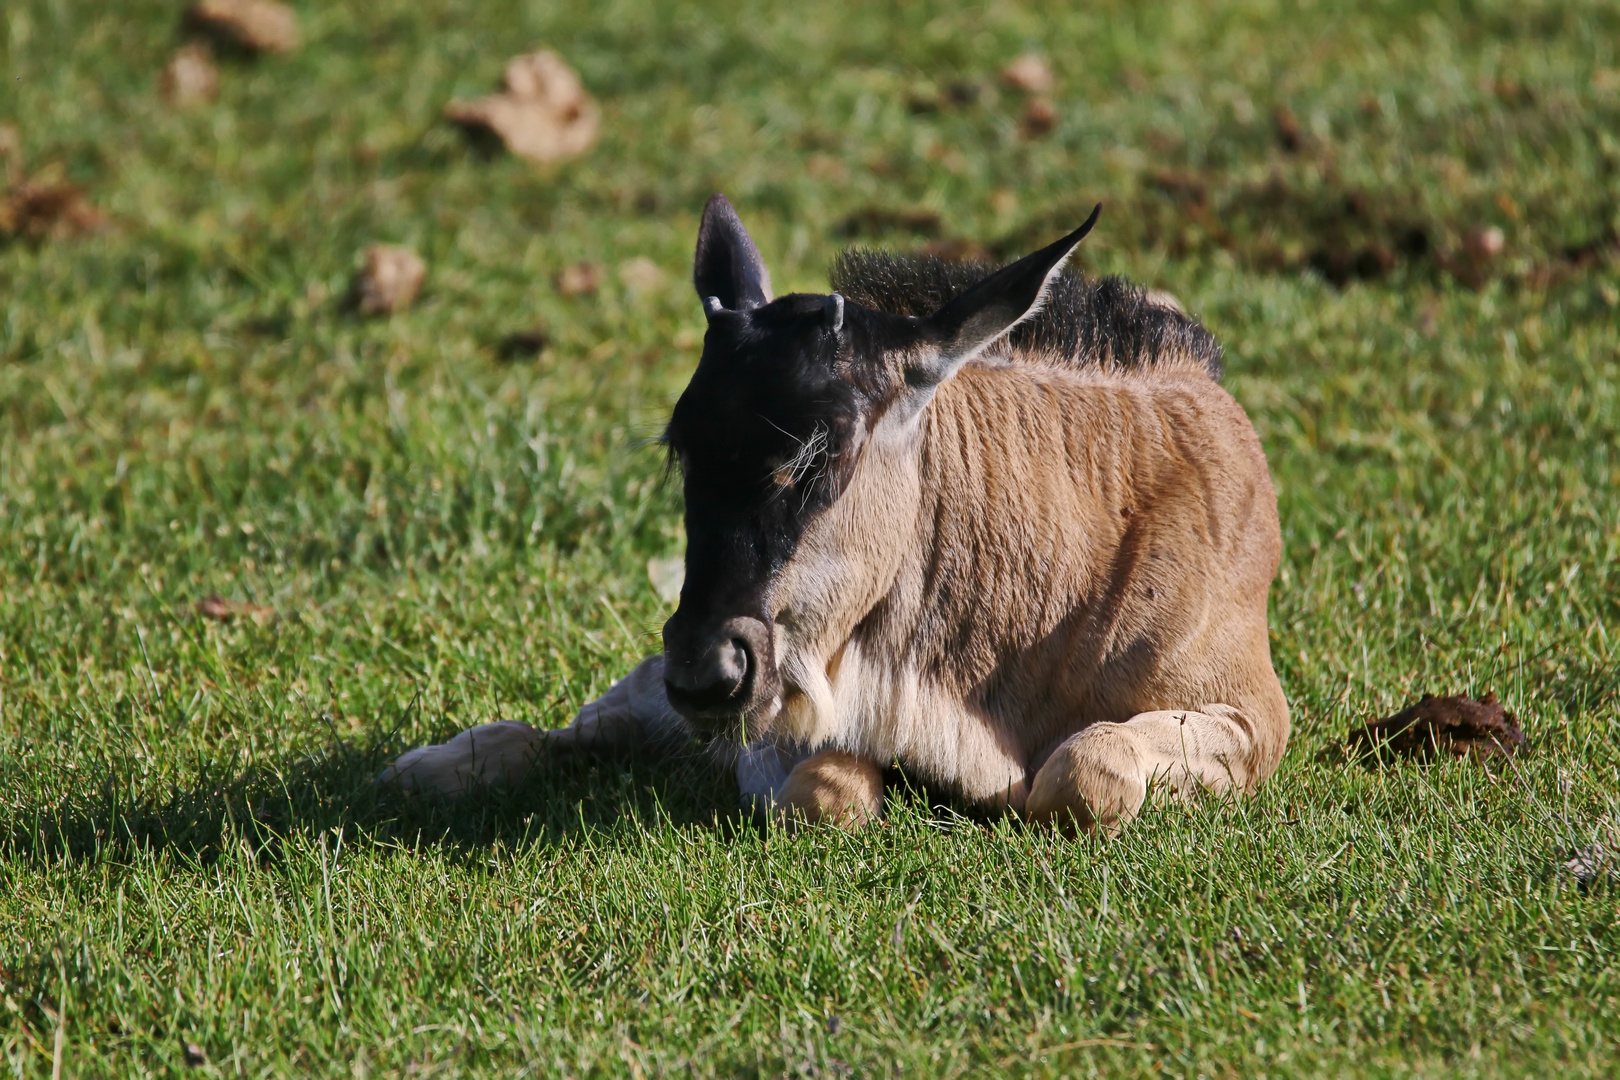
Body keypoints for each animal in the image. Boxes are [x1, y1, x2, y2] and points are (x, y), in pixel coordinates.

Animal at [382, 196, 1289, 835]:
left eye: (828, 448)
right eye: (683, 445)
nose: (708, 672)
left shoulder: (1255, 719)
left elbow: (1085, 771)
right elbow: (818, 790)